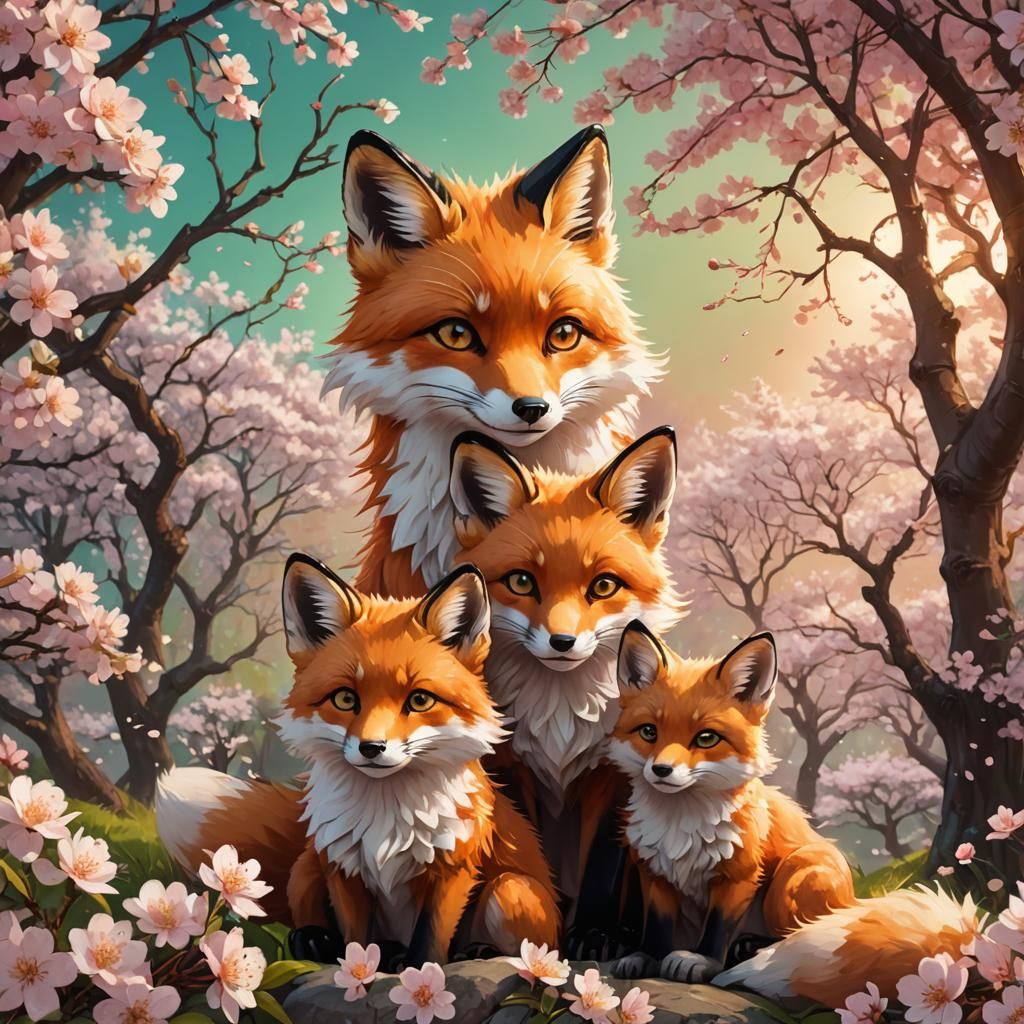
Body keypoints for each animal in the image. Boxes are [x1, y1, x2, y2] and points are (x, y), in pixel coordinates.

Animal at [157, 556, 560, 966]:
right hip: (305, 871)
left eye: (419, 700)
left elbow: (429, 939)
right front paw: (359, 967)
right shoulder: (343, 868)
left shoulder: (454, 868)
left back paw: (473, 952)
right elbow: (356, 939)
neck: (386, 816)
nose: (372, 747)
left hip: (510, 890)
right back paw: (322, 942)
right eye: (346, 699)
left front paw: (422, 971)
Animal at [605, 623, 979, 1006]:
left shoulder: (739, 874)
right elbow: (657, 925)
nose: (661, 770)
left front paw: (703, 961)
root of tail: (855, 901)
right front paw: (646, 956)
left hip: (793, 877)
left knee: (795, 933)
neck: (681, 825)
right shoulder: (654, 873)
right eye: (649, 732)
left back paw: (751, 949)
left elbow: (718, 928)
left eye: (706, 738)